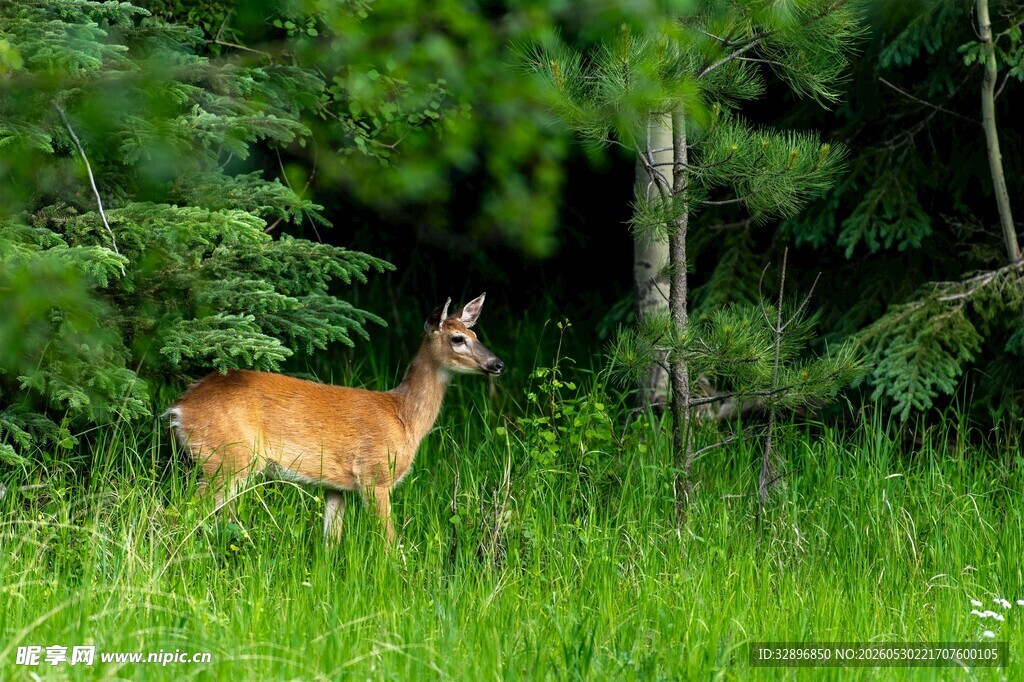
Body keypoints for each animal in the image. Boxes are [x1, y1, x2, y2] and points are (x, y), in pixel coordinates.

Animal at [166, 294, 503, 544]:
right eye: (457, 338)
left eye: (475, 333)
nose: (497, 363)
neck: (403, 417)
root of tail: (179, 409)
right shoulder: (375, 475)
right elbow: (389, 541)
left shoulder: (335, 487)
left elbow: (330, 542)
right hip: (228, 458)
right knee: (182, 511)